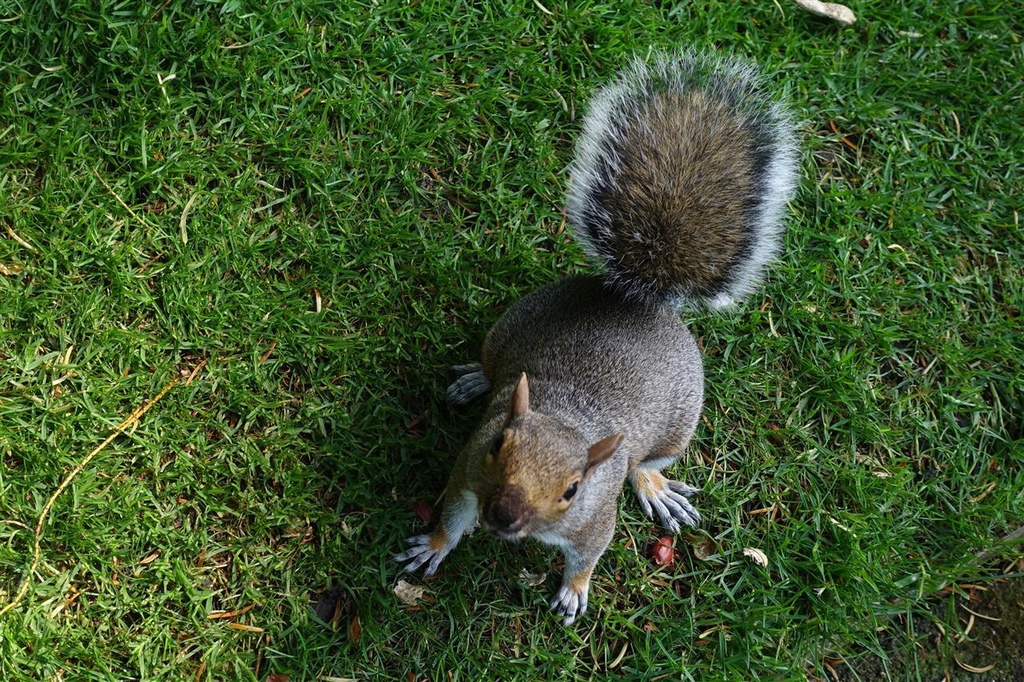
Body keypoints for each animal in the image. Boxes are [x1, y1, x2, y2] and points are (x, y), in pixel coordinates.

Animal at [393, 49, 798, 622]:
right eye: (497, 445)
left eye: (573, 489)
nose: (503, 514)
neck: (565, 418)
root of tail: (634, 300)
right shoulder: (468, 472)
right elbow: (451, 516)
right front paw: (432, 547)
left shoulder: (593, 518)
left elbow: (590, 553)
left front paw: (575, 589)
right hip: (506, 329)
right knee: (491, 364)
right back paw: (475, 379)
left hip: (678, 426)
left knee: (646, 464)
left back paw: (654, 487)